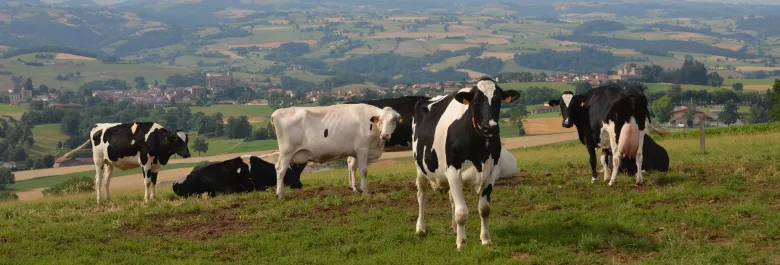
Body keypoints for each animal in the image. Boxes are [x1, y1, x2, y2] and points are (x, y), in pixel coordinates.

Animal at [58, 121, 190, 204]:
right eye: (178, 141)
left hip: (109, 162)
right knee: (98, 180)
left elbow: (153, 182)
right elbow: (147, 182)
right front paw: (146, 199)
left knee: (106, 181)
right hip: (98, 160)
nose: (188, 154)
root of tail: (97, 126)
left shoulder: (155, 165)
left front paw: (153, 198)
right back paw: (99, 201)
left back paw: (108, 199)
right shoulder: (145, 162)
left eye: (186, 140)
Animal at [270, 102, 402, 196]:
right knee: (281, 169)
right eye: (380, 120)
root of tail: (276, 113)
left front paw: (356, 188)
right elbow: (363, 170)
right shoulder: (363, 149)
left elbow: (353, 167)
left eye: (393, 120)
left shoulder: (356, 151)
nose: (385, 135)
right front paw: (364, 191)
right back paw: (280, 194)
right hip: (287, 152)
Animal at [412, 77, 520, 250]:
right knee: (421, 195)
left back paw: (454, 228)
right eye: (476, 101)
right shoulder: (453, 172)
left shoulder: (491, 174)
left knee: (451, 199)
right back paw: (421, 228)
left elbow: (484, 209)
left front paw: (485, 239)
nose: (490, 128)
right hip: (420, 168)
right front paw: (461, 243)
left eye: (498, 100)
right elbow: (462, 212)